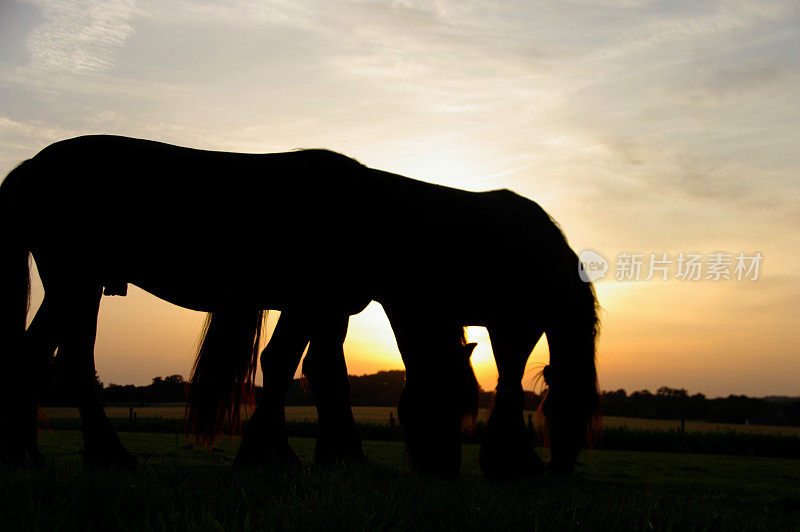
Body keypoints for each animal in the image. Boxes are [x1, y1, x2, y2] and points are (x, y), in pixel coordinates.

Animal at [0, 135, 600, 476]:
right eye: (446, 401)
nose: (443, 469)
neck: (379, 217)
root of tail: (30, 166)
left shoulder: (329, 308)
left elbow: (322, 373)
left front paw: (340, 456)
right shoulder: (311, 302)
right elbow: (285, 364)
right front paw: (271, 455)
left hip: (74, 287)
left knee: (44, 355)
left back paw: (41, 454)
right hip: (75, 282)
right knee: (63, 359)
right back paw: (93, 456)